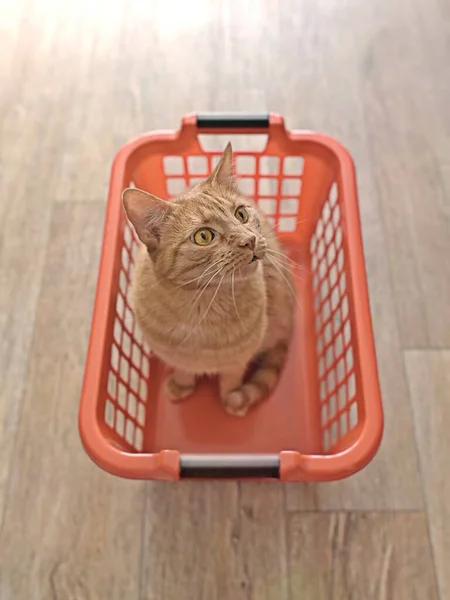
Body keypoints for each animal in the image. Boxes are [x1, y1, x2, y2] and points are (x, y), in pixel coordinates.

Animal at [123, 143, 296, 414]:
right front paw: (181, 386)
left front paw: (231, 399)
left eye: (241, 214)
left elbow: (230, 380)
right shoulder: (174, 356)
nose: (249, 240)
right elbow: (184, 371)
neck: (203, 304)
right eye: (204, 236)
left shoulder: (238, 360)